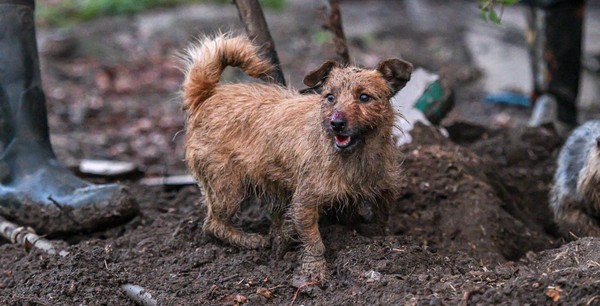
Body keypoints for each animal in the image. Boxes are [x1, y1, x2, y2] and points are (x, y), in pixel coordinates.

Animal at [178, 34, 412, 280]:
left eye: (364, 97)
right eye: (330, 97)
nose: (336, 123)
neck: (355, 157)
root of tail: (208, 95)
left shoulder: (385, 188)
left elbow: (381, 216)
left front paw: (375, 236)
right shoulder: (305, 201)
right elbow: (313, 240)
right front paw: (314, 269)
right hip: (228, 187)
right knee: (213, 225)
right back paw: (249, 240)